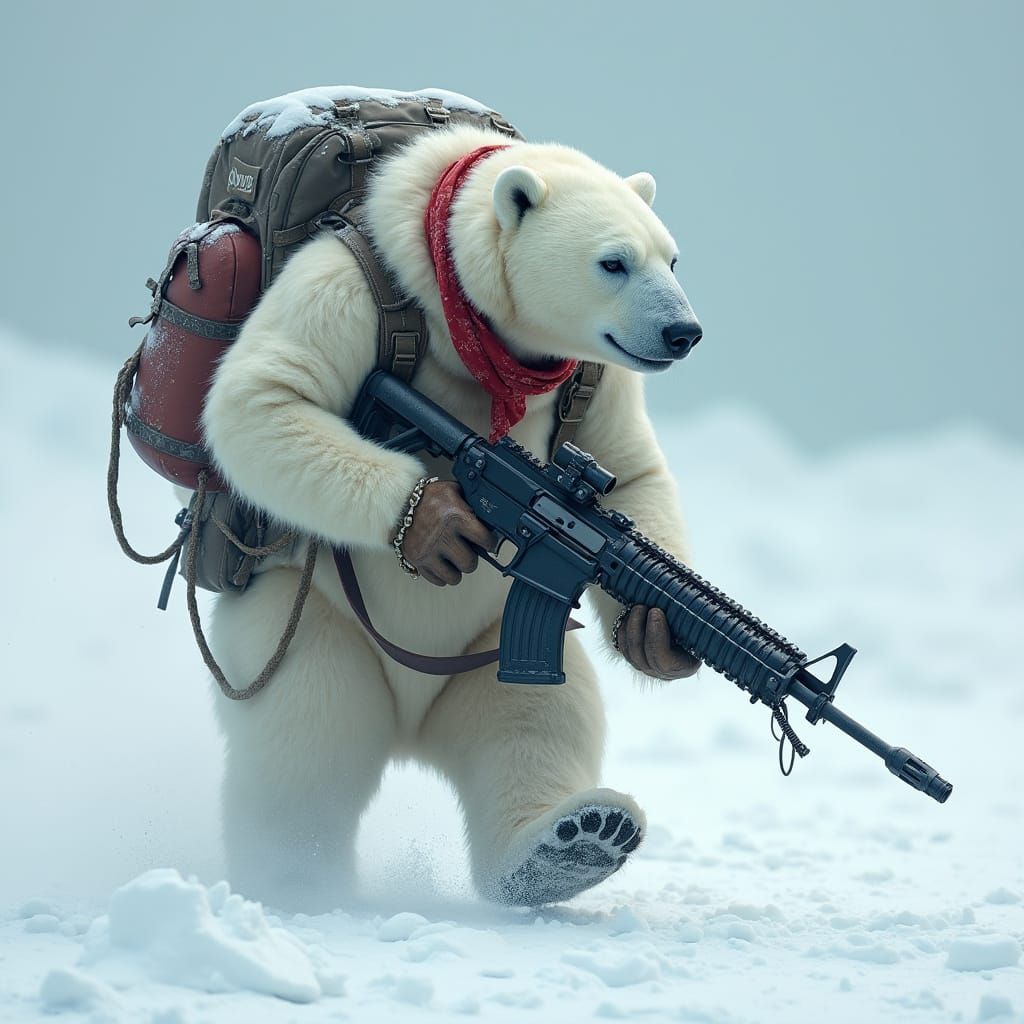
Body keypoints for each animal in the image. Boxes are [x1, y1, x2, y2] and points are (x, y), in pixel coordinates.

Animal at [201, 119, 703, 911]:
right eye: (613, 262)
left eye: (671, 256)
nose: (685, 332)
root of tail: (410, 727)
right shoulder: (345, 285)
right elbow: (261, 398)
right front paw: (435, 521)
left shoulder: (603, 380)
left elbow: (631, 466)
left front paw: (656, 632)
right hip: (303, 617)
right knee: (306, 737)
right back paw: (294, 881)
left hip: (488, 640)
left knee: (534, 716)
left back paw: (573, 841)